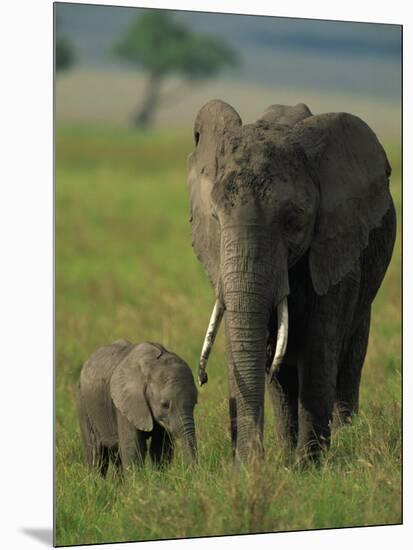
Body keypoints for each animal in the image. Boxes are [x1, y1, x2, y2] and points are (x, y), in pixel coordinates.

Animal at [76, 338, 197, 476]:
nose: (193, 474)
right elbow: (133, 448)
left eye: (195, 402)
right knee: (95, 452)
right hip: (83, 403)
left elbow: (160, 448)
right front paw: (138, 482)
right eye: (165, 405)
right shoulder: (126, 404)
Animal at [187, 100, 396, 466]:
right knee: (282, 374)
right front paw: (268, 468)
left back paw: (347, 437)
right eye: (215, 217)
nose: (203, 378)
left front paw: (310, 465)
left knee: (349, 360)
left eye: (293, 220)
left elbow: (319, 347)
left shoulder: (335, 247)